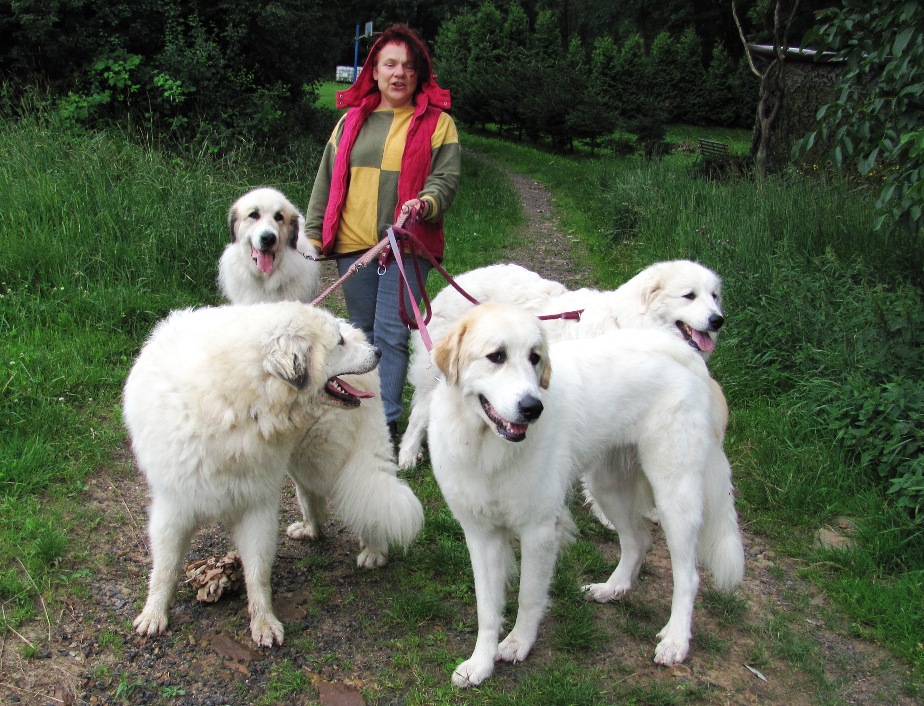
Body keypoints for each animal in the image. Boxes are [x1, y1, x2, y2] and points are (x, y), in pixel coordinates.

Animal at [125, 302, 422, 644]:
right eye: (339, 343)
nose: (378, 352)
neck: (237, 401)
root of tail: (356, 328)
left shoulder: (256, 505)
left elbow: (257, 571)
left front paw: (264, 622)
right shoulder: (174, 507)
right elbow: (165, 567)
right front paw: (154, 614)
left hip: (326, 461)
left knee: (362, 498)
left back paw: (374, 549)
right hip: (302, 460)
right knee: (311, 495)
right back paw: (310, 529)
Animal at [396, 258, 720, 468]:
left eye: (714, 296)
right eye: (689, 296)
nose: (718, 320)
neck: (627, 323)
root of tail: (453, 284)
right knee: (419, 415)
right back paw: (408, 455)